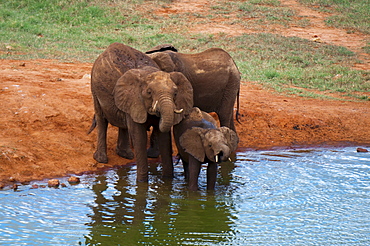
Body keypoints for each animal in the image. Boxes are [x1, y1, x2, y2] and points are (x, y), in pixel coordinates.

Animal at [89, 42, 194, 182]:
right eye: (149, 92)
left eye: (175, 93)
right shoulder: (135, 99)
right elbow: (139, 136)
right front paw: (142, 183)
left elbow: (164, 136)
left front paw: (167, 181)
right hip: (94, 88)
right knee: (101, 119)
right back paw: (101, 159)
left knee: (123, 123)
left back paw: (125, 154)